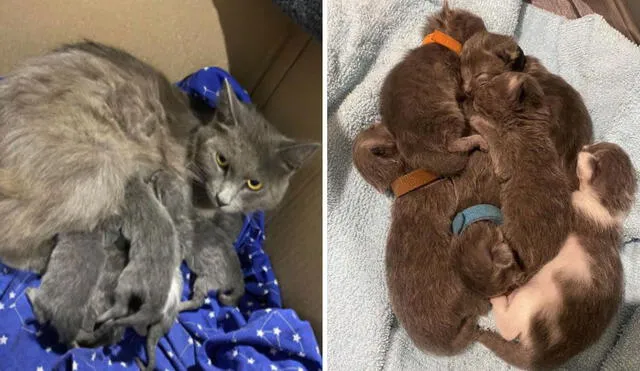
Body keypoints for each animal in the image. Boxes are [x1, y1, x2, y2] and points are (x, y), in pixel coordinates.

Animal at [380, 3, 484, 176]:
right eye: (472, 18)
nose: (483, 22)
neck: (442, 42)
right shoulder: (456, 76)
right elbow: (464, 88)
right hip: (447, 114)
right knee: (452, 145)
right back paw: (478, 140)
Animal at [478, 142, 632, 370]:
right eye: (595, 145)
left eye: (590, 151)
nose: (583, 146)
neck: (606, 209)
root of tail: (546, 355)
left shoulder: (575, 207)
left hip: (530, 299)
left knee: (509, 329)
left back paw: (498, 299)